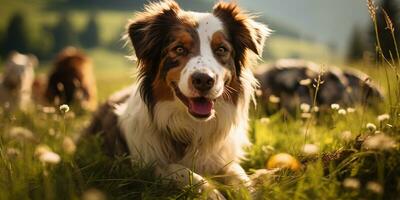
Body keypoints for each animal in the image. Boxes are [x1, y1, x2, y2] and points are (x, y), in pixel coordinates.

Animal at [86, 0, 270, 197]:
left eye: (221, 49)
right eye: (179, 49)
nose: (203, 80)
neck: (192, 127)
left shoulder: (223, 159)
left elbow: (240, 176)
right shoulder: (143, 167)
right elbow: (181, 171)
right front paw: (212, 193)